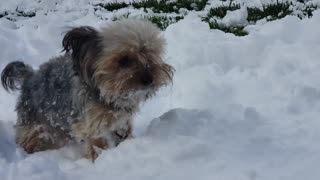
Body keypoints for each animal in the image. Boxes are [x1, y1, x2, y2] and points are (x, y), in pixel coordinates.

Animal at [1, 19, 174, 160]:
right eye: (124, 60)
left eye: (151, 54)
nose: (149, 79)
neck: (108, 95)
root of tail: (30, 76)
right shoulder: (93, 124)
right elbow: (97, 143)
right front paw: (99, 158)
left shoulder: (122, 121)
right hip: (35, 125)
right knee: (29, 139)